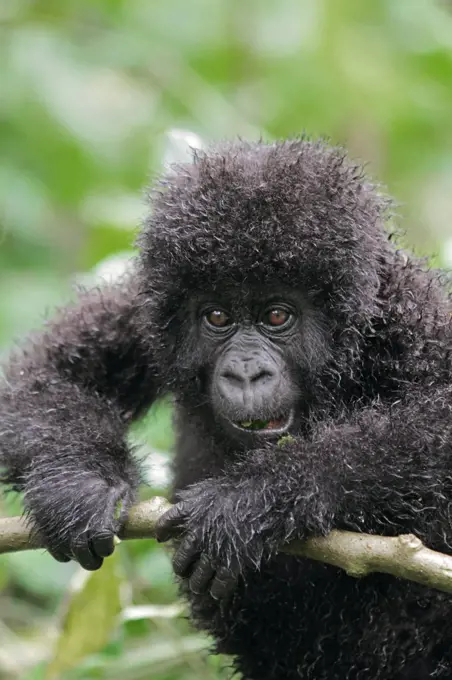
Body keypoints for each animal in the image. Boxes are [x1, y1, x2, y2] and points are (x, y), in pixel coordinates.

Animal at [0, 138, 452, 680]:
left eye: (276, 315)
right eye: (217, 316)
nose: (245, 373)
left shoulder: (409, 315)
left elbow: (440, 418)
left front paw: (255, 499)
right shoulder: (144, 308)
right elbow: (45, 374)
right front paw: (79, 483)